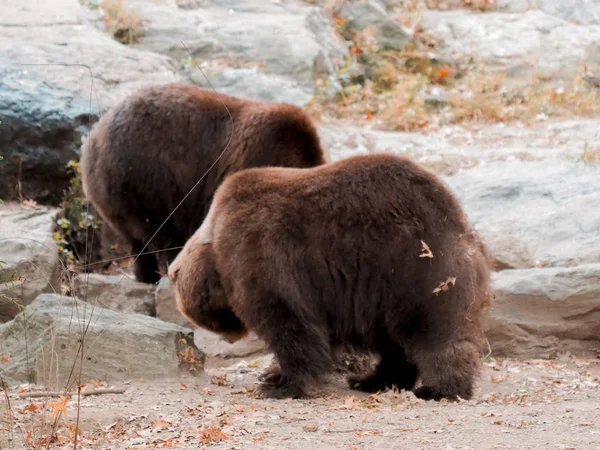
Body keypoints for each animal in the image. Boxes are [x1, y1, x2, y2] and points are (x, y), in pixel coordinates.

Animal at [168, 153, 492, 400]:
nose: (227, 338)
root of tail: (460, 220)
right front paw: (272, 375)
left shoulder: (262, 255)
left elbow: (290, 324)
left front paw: (282, 385)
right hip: (381, 294)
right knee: (392, 342)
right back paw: (370, 380)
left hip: (415, 268)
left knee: (434, 330)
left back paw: (439, 389)